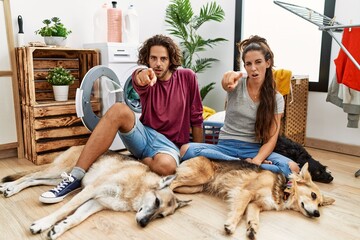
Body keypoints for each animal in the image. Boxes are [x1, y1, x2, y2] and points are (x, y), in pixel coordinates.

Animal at [170, 157, 334, 239]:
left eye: (320, 204)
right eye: (313, 195)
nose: (317, 214)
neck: (283, 190)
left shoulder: (255, 205)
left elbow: (254, 218)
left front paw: (252, 229)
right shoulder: (245, 192)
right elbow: (238, 211)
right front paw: (230, 225)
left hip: (196, 187)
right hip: (200, 177)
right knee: (171, 183)